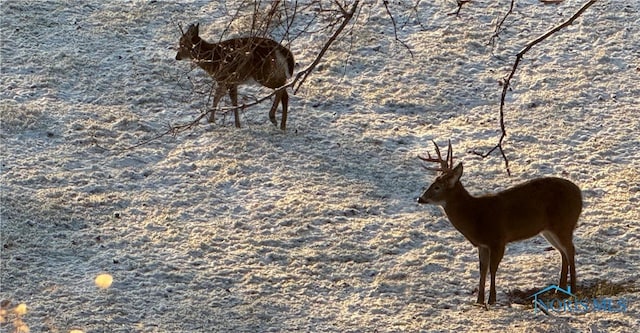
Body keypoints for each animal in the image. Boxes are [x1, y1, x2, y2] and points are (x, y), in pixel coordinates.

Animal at [418, 139, 584, 304]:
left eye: (437, 187)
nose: (420, 198)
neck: (475, 216)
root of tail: (579, 194)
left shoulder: (498, 240)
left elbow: (493, 268)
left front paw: (492, 299)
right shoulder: (483, 244)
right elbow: (482, 269)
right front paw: (479, 301)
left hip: (564, 223)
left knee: (570, 249)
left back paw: (573, 289)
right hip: (548, 229)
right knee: (562, 251)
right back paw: (560, 289)